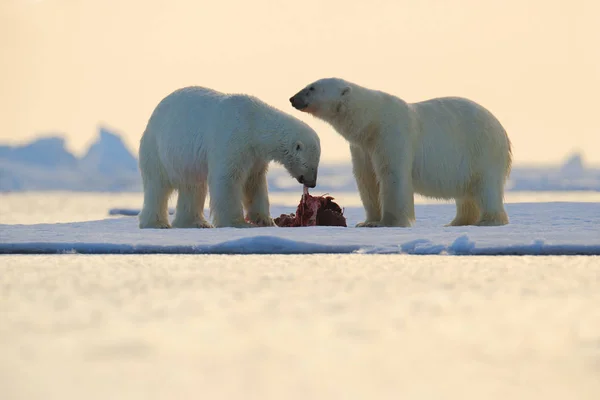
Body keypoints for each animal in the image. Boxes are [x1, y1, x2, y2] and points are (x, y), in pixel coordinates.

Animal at [139, 86, 322, 230]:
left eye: (316, 165)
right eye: (311, 165)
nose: (312, 183)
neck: (254, 124)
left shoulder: (255, 155)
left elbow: (254, 181)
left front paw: (265, 220)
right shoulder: (233, 140)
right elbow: (228, 179)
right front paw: (238, 222)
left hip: (187, 161)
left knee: (193, 187)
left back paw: (195, 223)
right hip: (157, 149)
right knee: (157, 186)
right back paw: (156, 223)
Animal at [290, 78, 510, 227]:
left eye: (312, 88)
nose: (292, 98)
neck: (371, 121)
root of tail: (501, 129)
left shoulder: (391, 134)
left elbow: (391, 174)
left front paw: (388, 222)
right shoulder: (362, 148)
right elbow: (367, 179)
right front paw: (368, 222)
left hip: (481, 149)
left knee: (486, 186)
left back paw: (488, 220)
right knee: (466, 194)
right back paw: (458, 221)